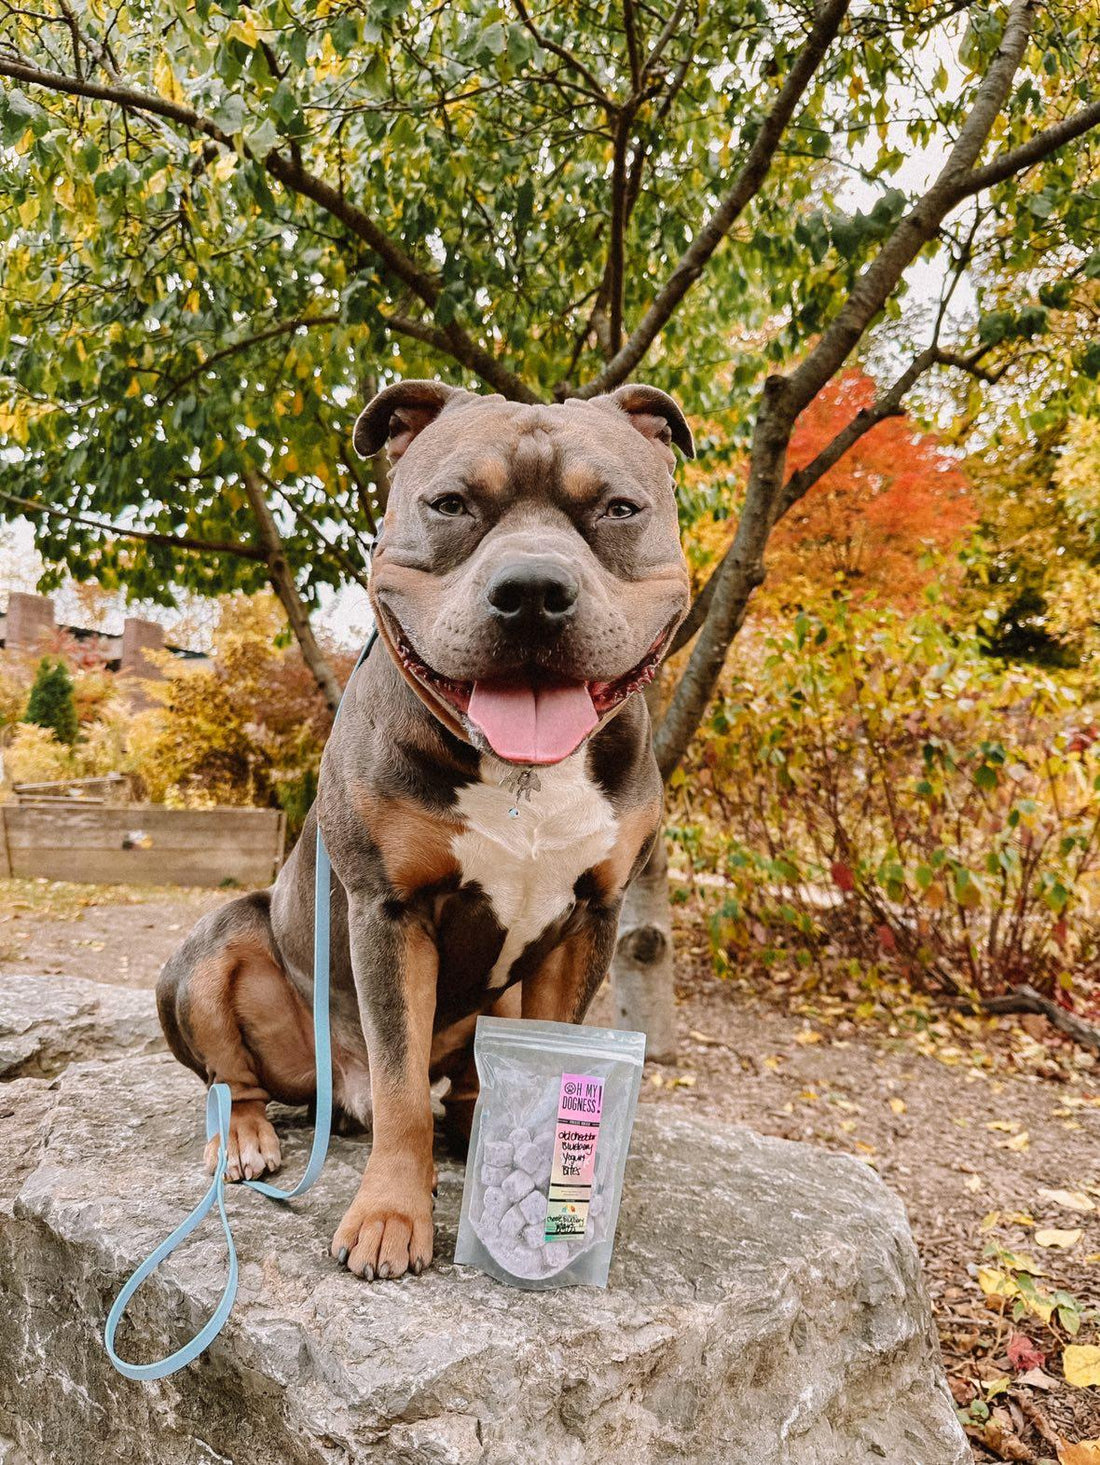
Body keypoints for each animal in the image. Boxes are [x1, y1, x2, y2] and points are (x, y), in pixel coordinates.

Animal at [158, 380, 691, 1283]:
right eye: (450, 504)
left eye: (619, 508)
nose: (533, 588)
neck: (521, 776)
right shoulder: (389, 909)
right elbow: (403, 1082)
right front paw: (390, 1214)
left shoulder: (594, 914)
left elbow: (554, 1044)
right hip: (214, 948)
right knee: (235, 1077)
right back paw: (247, 1136)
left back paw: (473, 1114)